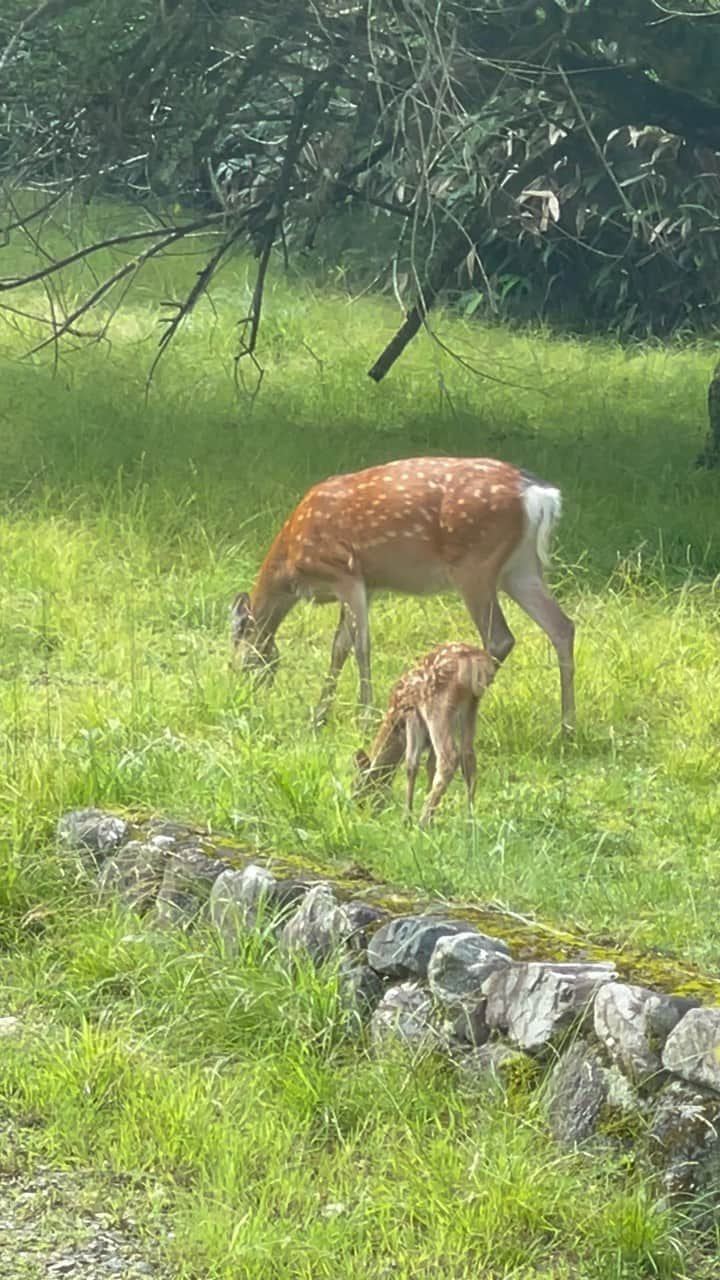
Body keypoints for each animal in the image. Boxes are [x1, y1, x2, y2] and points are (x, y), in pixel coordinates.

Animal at [233, 455, 573, 737]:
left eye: (237, 656)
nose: (245, 697)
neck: (291, 564)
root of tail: (541, 496)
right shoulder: (366, 585)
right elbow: (340, 647)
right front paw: (319, 718)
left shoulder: (344, 571)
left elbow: (360, 647)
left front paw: (364, 719)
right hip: (520, 569)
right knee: (561, 626)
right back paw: (567, 728)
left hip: (475, 564)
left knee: (500, 638)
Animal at [351, 640, 497, 829]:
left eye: (357, 786)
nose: (361, 809)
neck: (394, 724)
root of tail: (477, 661)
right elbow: (429, 766)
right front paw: (431, 810)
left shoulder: (411, 713)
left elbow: (411, 764)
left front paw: (407, 818)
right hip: (470, 708)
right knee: (468, 758)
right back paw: (469, 820)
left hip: (436, 706)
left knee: (449, 758)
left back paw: (423, 821)